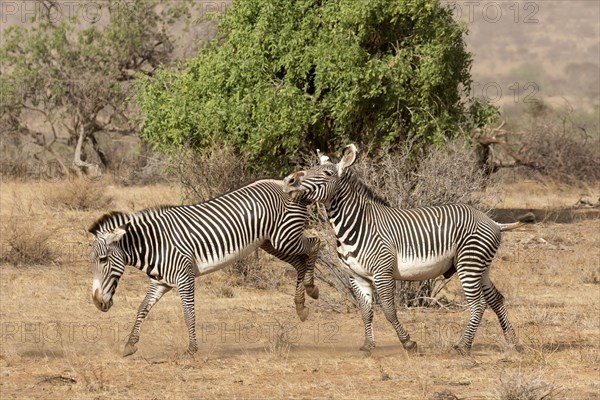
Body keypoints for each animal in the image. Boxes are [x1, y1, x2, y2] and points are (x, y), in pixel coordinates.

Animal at [88, 178, 318, 356]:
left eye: (103, 260)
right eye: (91, 261)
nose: (97, 302)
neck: (154, 244)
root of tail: (285, 183)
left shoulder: (184, 276)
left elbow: (188, 312)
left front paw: (192, 349)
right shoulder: (161, 282)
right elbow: (143, 307)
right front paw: (130, 344)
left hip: (285, 237)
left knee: (316, 244)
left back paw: (311, 287)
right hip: (271, 242)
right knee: (300, 261)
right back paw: (301, 306)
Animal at [284, 145, 536, 354]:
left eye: (327, 174)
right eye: (310, 168)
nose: (288, 180)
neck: (356, 224)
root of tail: (492, 221)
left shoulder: (382, 273)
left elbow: (388, 310)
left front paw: (408, 343)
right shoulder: (356, 276)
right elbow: (366, 311)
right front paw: (368, 345)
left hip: (469, 264)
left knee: (479, 304)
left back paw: (463, 347)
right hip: (481, 266)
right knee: (496, 299)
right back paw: (512, 342)